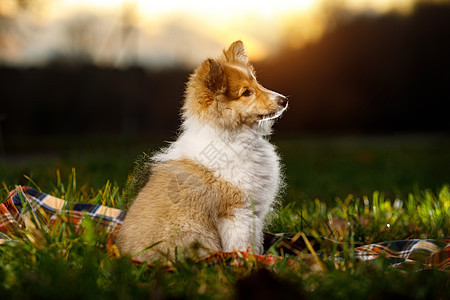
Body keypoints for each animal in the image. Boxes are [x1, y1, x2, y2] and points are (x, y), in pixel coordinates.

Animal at [116, 39, 288, 260]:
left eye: (257, 82)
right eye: (246, 93)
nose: (284, 100)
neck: (233, 137)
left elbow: (256, 243)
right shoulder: (238, 212)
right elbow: (242, 246)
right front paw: (248, 262)